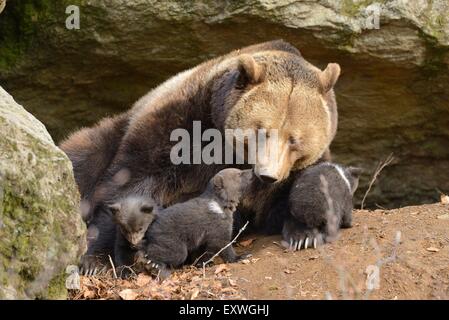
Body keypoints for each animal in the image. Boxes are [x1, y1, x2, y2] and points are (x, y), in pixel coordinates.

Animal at [60, 40, 340, 270]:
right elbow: (133, 181)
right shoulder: (183, 125)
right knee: (82, 160)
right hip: (110, 135)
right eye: (262, 131)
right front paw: (96, 259)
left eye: (294, 139)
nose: (268, 175)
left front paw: (304, 234)